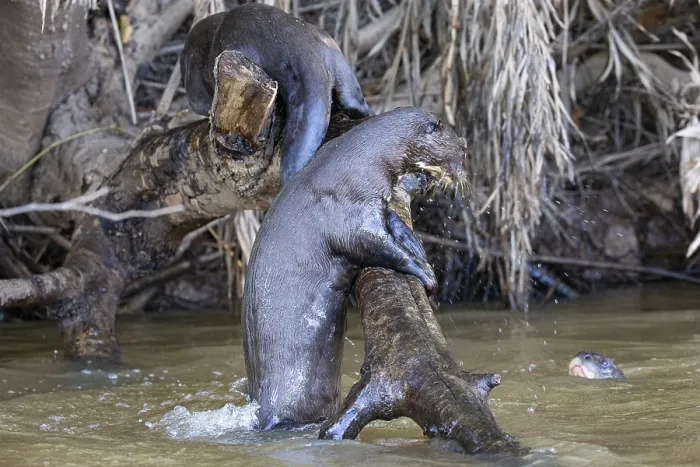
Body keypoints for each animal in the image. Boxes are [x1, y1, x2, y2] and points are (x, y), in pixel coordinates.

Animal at [241, 106, 469, 430]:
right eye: (462, 152)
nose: (464, 170)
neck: (360, 166)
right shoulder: (350, 211)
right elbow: (375, 244)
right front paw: (424, 274)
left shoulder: (378, 203)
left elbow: (396, 227)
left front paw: (421, 254)